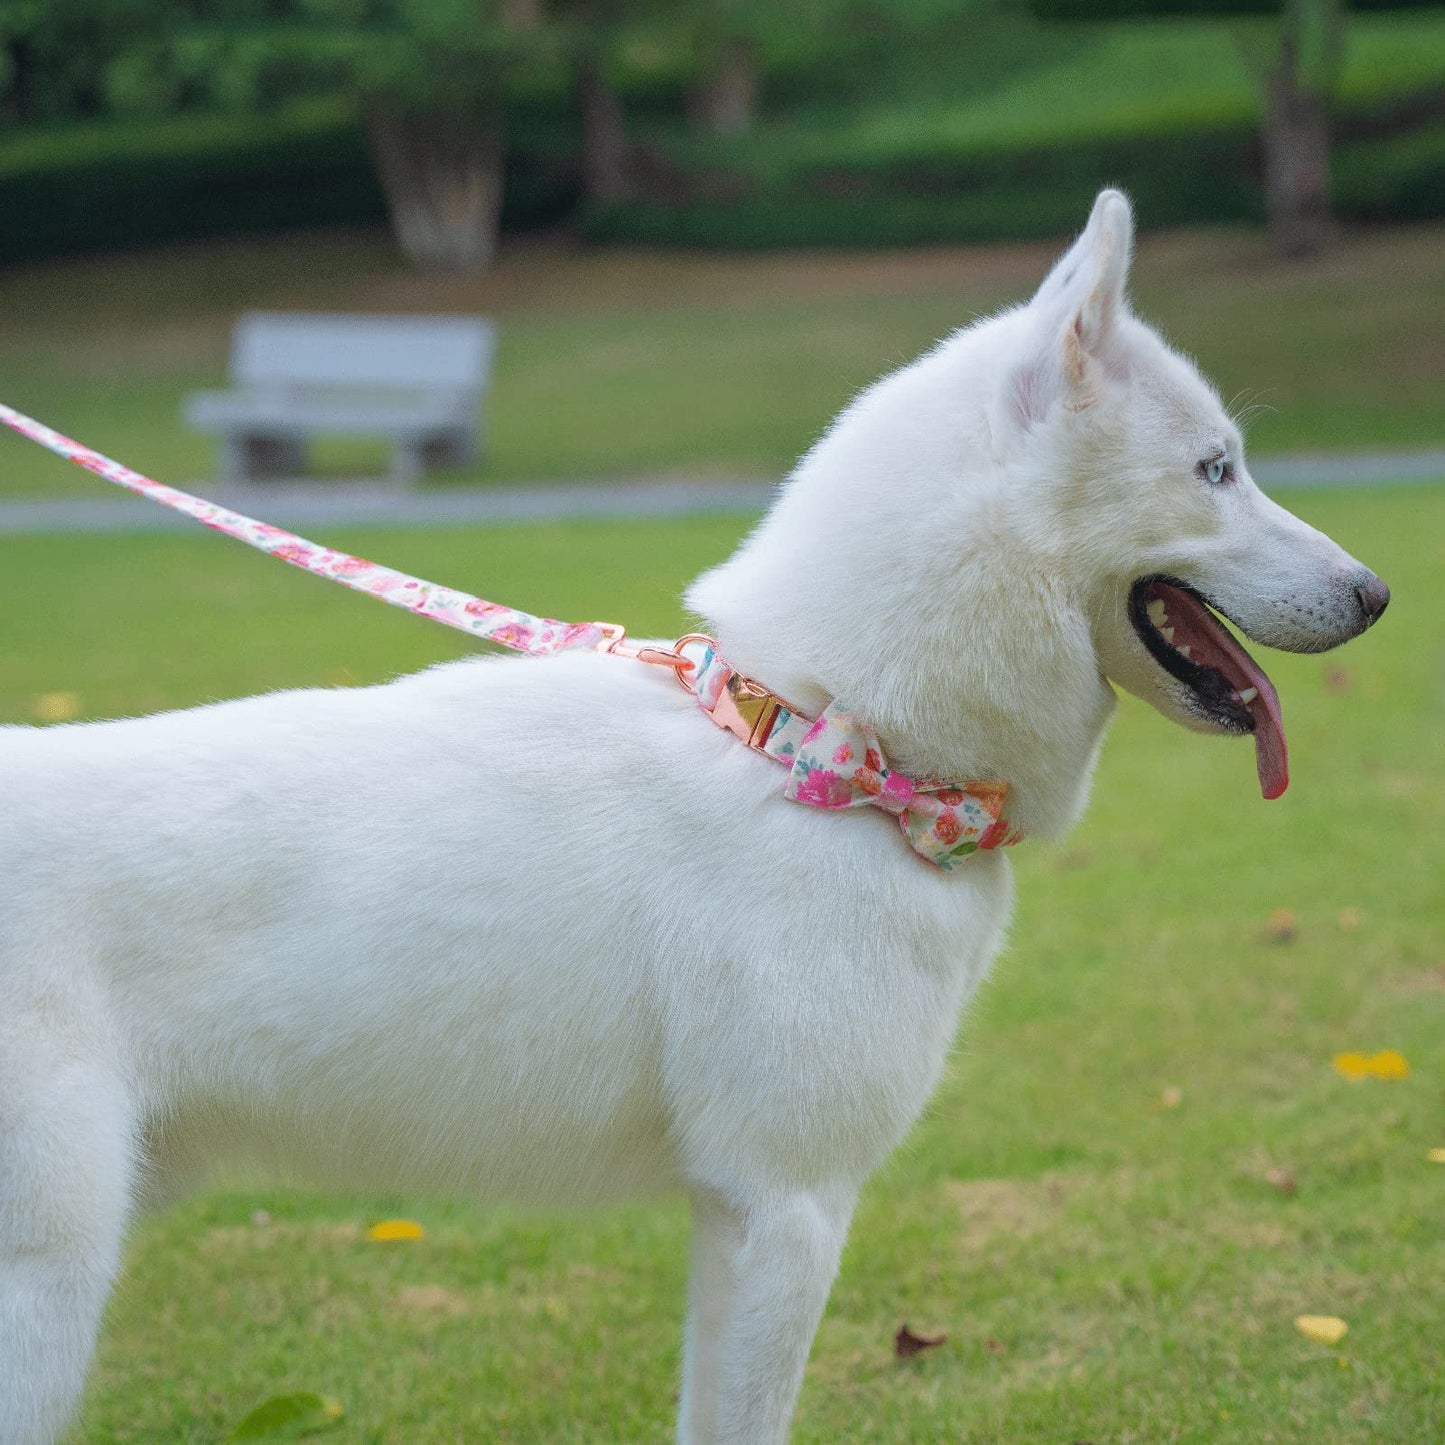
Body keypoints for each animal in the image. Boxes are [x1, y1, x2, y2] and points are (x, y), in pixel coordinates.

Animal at [5, 192, 1392, 1445]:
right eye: (1215, 470)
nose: (1376, 594)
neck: (830, 741)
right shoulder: (784, 1208)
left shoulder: (733, 1219)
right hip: (49, 1293)